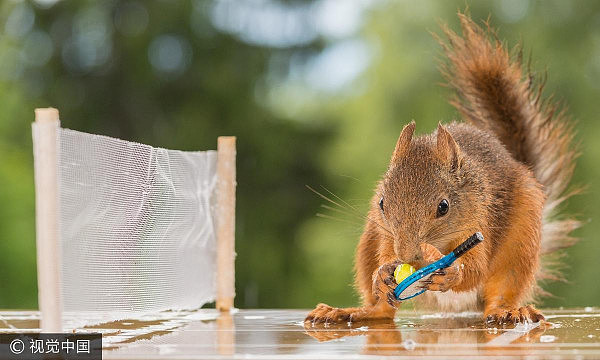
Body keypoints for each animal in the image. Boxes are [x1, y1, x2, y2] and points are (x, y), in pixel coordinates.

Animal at [308, 12, 580, 324]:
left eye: (443, 207)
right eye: (382, 203)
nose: (408, 255)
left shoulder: (480, 219)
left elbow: (474, 267)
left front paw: (451, 270)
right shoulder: (385, 232)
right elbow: (386, 254)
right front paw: (384, 271)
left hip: (521, 242)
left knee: (501, 289)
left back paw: (508, 311)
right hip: (368, 239)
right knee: (382, 310)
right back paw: (347, 311)